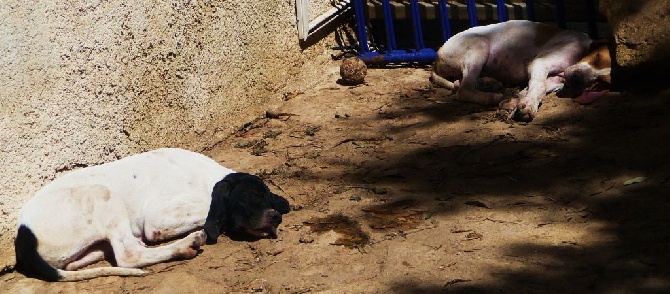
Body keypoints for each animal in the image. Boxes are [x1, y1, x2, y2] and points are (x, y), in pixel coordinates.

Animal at [13, 148, 292, 282]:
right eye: (251, 197)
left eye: (267, 198)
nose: (275, 218)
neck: (206, 177)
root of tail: (23, 234)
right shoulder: (159, 218)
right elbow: (214, 211)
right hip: (103, 193)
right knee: (128, 256)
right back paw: (185, 244)